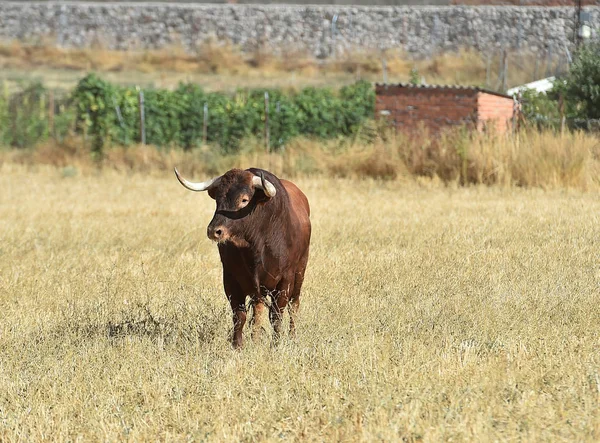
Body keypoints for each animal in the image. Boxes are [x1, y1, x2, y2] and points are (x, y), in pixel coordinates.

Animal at [173, 168, 312, 348]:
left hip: (300, 272)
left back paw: (292, 337)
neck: (256, 245)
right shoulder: (231, 279)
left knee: (294, 306)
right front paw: (237, 345)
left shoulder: (285, 280)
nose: (214, 231)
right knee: (258, 311)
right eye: (218, 198)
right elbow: (240, 316)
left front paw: (275, 345)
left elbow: (277, 316)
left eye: (244, 200)